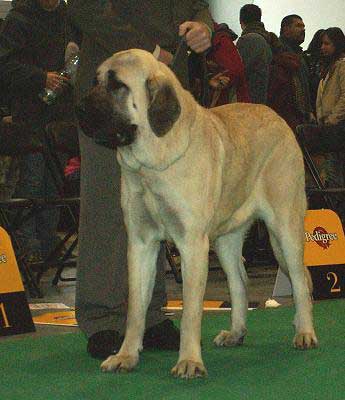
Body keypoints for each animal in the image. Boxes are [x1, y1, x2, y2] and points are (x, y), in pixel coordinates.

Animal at [77, 48, 318, 376]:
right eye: (95, 81)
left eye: (117, 86)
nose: (78, 108)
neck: (151, 165)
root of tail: (278, 117)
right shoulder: (140, 244)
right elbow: (136, 308)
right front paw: (126, 355)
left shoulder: (191, 244)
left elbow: (191, 310)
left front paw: (189, 360)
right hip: (225, 241)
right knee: (239, 282)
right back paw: (236, 332)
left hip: (285, 228)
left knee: (299, 280)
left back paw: (305, 332)